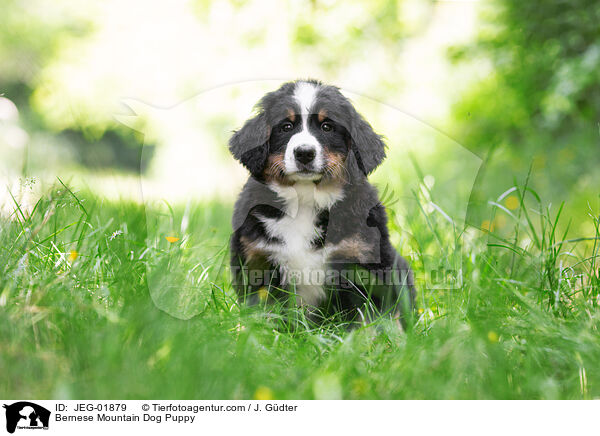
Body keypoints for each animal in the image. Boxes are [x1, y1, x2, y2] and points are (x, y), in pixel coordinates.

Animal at [227, 79, 414, 328]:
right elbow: (260, 314)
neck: (305, 200)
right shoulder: (257, 259)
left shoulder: (364, 261)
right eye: (286, 126)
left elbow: (368, 318)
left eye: (327, 127)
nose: (304, 153)